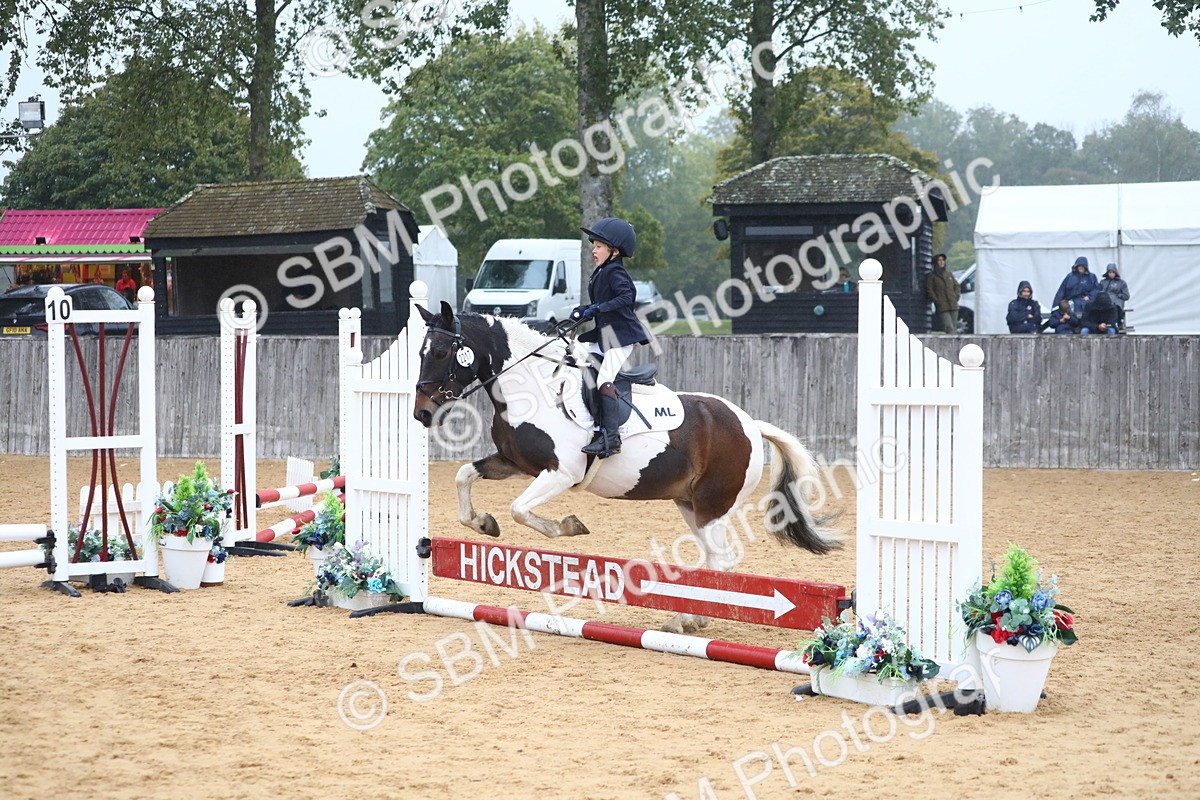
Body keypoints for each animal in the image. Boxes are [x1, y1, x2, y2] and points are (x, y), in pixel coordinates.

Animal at [413, 302, 840, 633]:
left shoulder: (561, 473)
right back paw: (689, 620)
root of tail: (750, 423)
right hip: (690, 506)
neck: (531, 387)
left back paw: (690, 619)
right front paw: (483, 522)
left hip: (712, 507)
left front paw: (568, 526)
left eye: (441, 353)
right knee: (712, 562)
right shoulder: (515, 463)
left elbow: (520, 510)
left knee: (720, 561)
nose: (422, 414)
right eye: (420, 353)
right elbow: (463, 476)